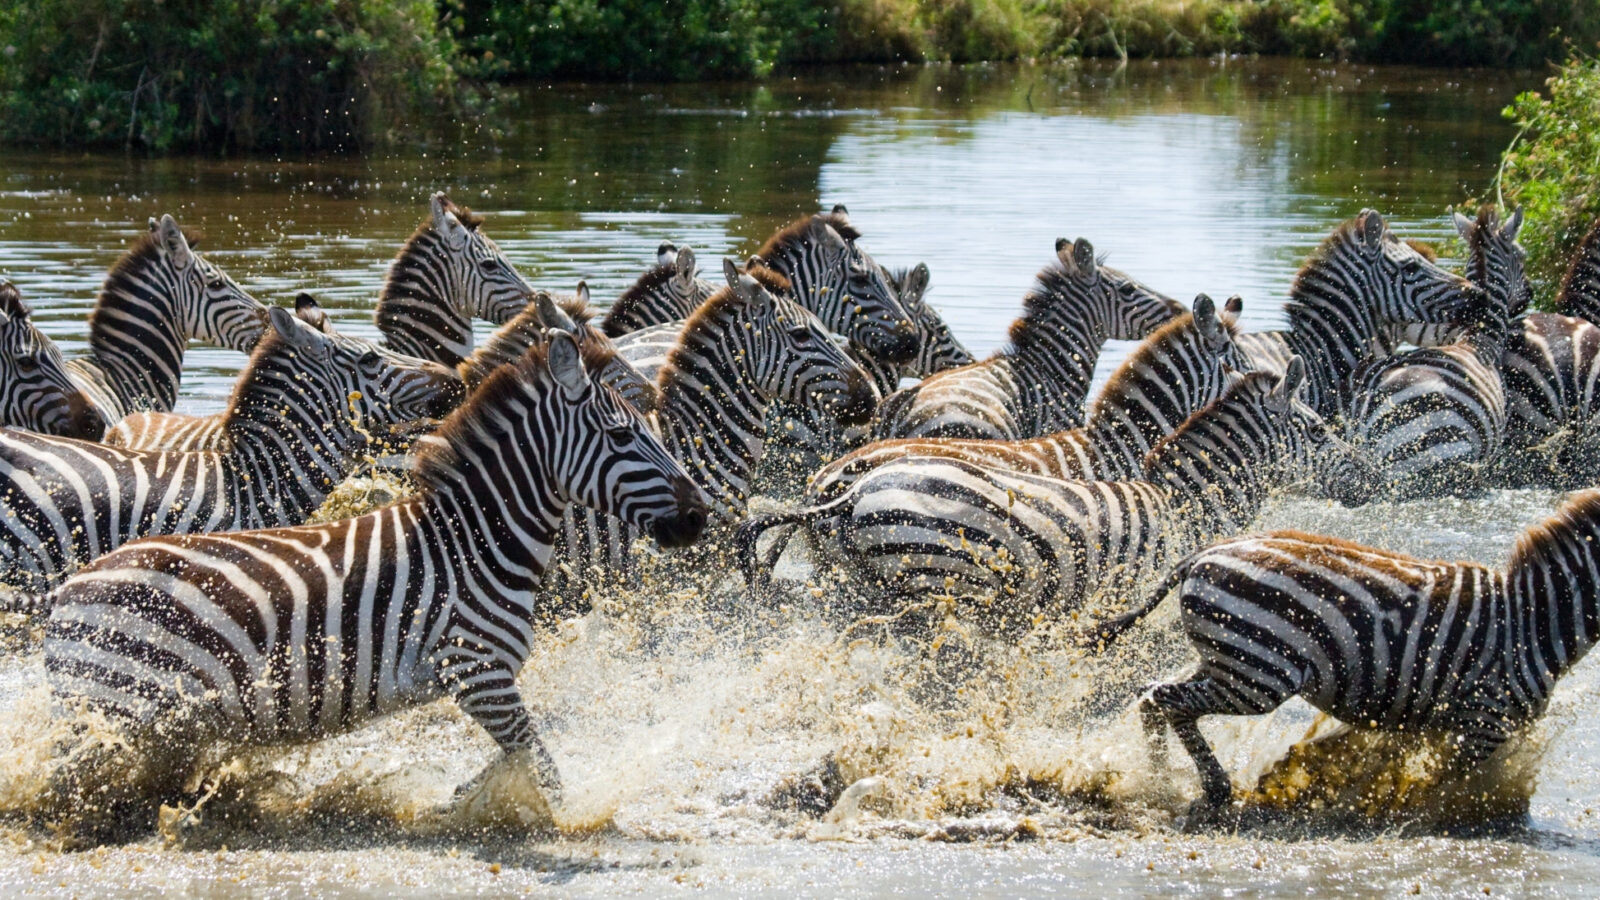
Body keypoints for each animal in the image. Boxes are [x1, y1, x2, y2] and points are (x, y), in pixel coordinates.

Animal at [38, 331, 707, 815]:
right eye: (622, 436)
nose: (699, 515)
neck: (475, 544)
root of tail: (72, 587)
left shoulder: (482, 685)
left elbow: (513, 761)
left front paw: (462, 802)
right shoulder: (476, 671)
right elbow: (540, 761)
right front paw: (562, 820)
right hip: (113, 710)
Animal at [737, 361, 1330, 634]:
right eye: (1321, 432)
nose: (1357, 476)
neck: (1183, 504)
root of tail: (843, 490)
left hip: (857, 587)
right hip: (936, 578)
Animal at [1090, 488, 1600, 815]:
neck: (1536, 620)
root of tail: (1202, 555)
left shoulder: (1429, 720)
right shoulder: (1482, 724)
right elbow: (1433, 783)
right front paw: (1402, 808)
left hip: (1227, 661)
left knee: (1154, 696)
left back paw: (1166, 782)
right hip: (1257, 675)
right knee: (1168, 700)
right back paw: (1196, 786)